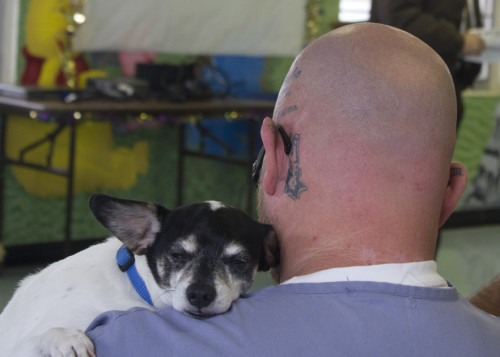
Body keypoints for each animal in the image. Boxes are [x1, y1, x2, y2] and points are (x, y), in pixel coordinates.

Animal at [0, 193, 280, 354]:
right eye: (177, 254)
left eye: (240, 261)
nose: (200, 294)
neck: (136, 293)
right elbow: (42, 336)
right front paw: (66, 338)